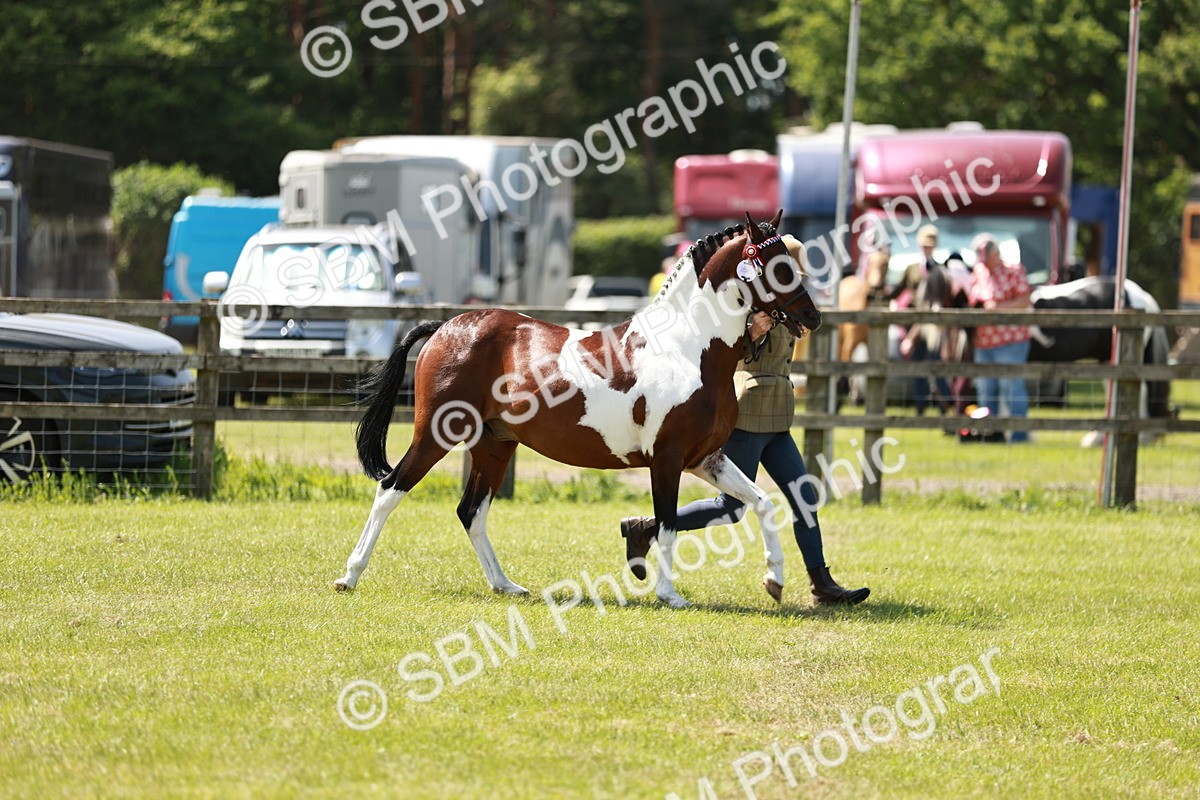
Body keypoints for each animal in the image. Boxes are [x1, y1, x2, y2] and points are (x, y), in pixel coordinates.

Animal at [334, 212, 822, 609]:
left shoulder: (706, 458)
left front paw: (774, 580)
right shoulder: (666, 460)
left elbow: (762, 503)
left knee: (471, 511)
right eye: (777, 265)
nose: (812, 317)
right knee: (390, 489)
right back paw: (349, 576)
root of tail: (447, 326)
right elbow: (666, 525)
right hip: (438, 433)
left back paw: (505, 585)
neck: (687, 348)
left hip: (494, 444)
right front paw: (669, 594)